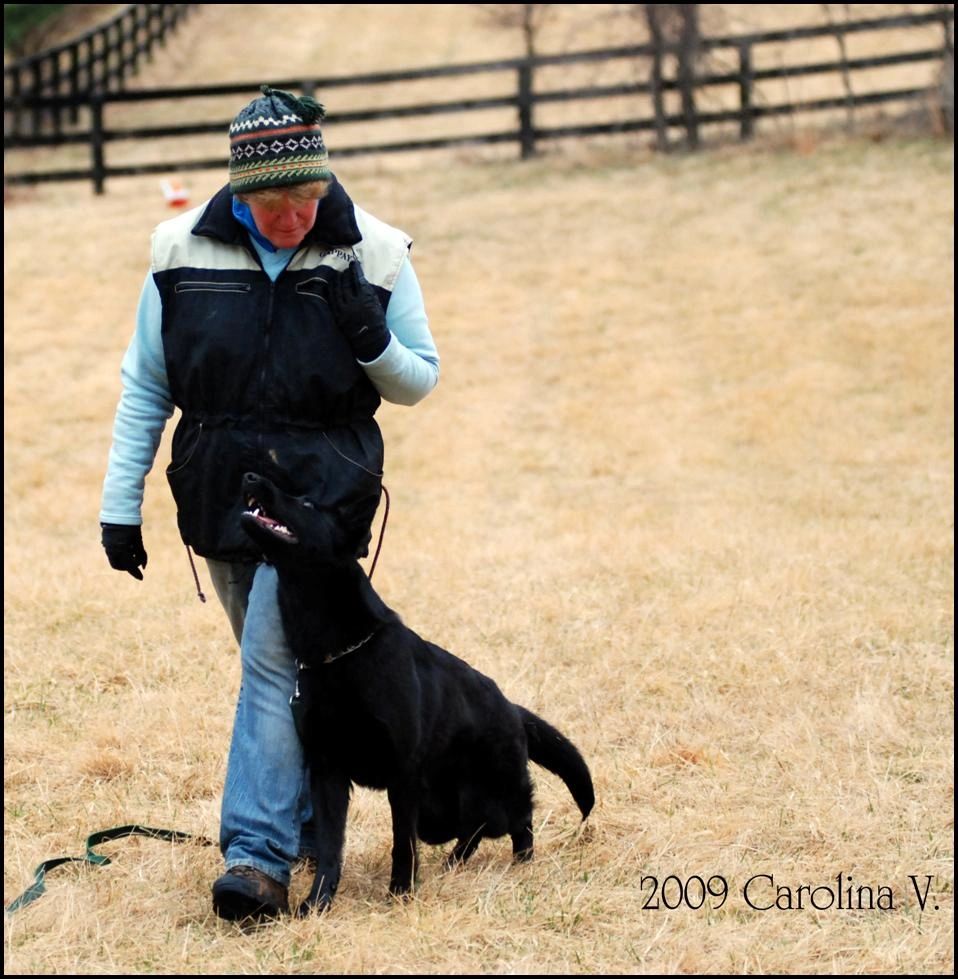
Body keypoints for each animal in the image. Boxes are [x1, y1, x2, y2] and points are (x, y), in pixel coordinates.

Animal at [238, 470, 592, 916]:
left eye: (306, 504)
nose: (251, 475)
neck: (339, 652)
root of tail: (511, 708)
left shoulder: (401, 772)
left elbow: (401, 843)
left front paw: (400, 894)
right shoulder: (327, 772)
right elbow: (331, 847)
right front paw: (317, 903)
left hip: (490, 792)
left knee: (518, 817)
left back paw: (521, 862)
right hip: (441, 810)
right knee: (473, 827)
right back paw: (455, 863)